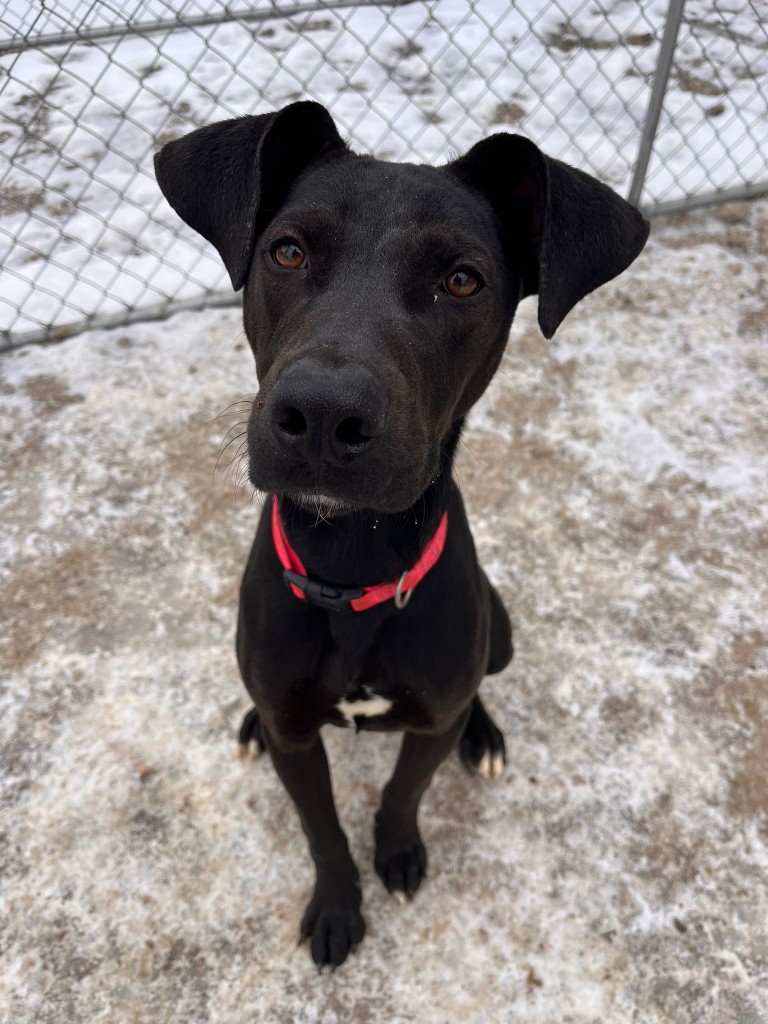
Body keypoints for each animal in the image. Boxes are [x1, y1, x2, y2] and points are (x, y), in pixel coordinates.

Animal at [154, 100, 648, 969]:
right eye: (288, 250)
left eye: (462, 280)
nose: (322, 415)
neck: (350, 565)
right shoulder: (296, 735)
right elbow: (320, 826)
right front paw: (336, 905)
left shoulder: (430, 716)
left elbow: (401, 790)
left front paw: (398, 852)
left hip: (501, 629)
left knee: (476, 688)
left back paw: (482, 736)